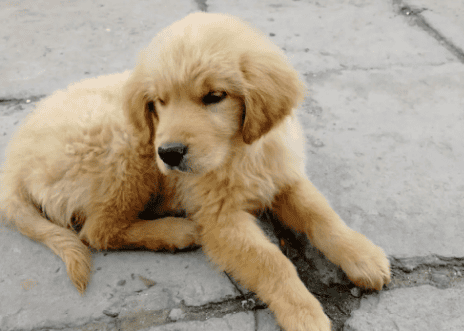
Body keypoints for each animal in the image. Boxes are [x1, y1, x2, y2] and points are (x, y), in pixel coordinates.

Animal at [0, 13, 392, 331]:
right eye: (158, 102)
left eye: (214, 97)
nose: (169, 153)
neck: (238, 153)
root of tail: (15, 159)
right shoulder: (219, 220)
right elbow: (272, 262)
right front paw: (305, 313)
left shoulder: (281, 176)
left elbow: (321, 214)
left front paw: (363, 254)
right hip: (128, 149)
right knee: (97, 232)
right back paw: (176, 232)